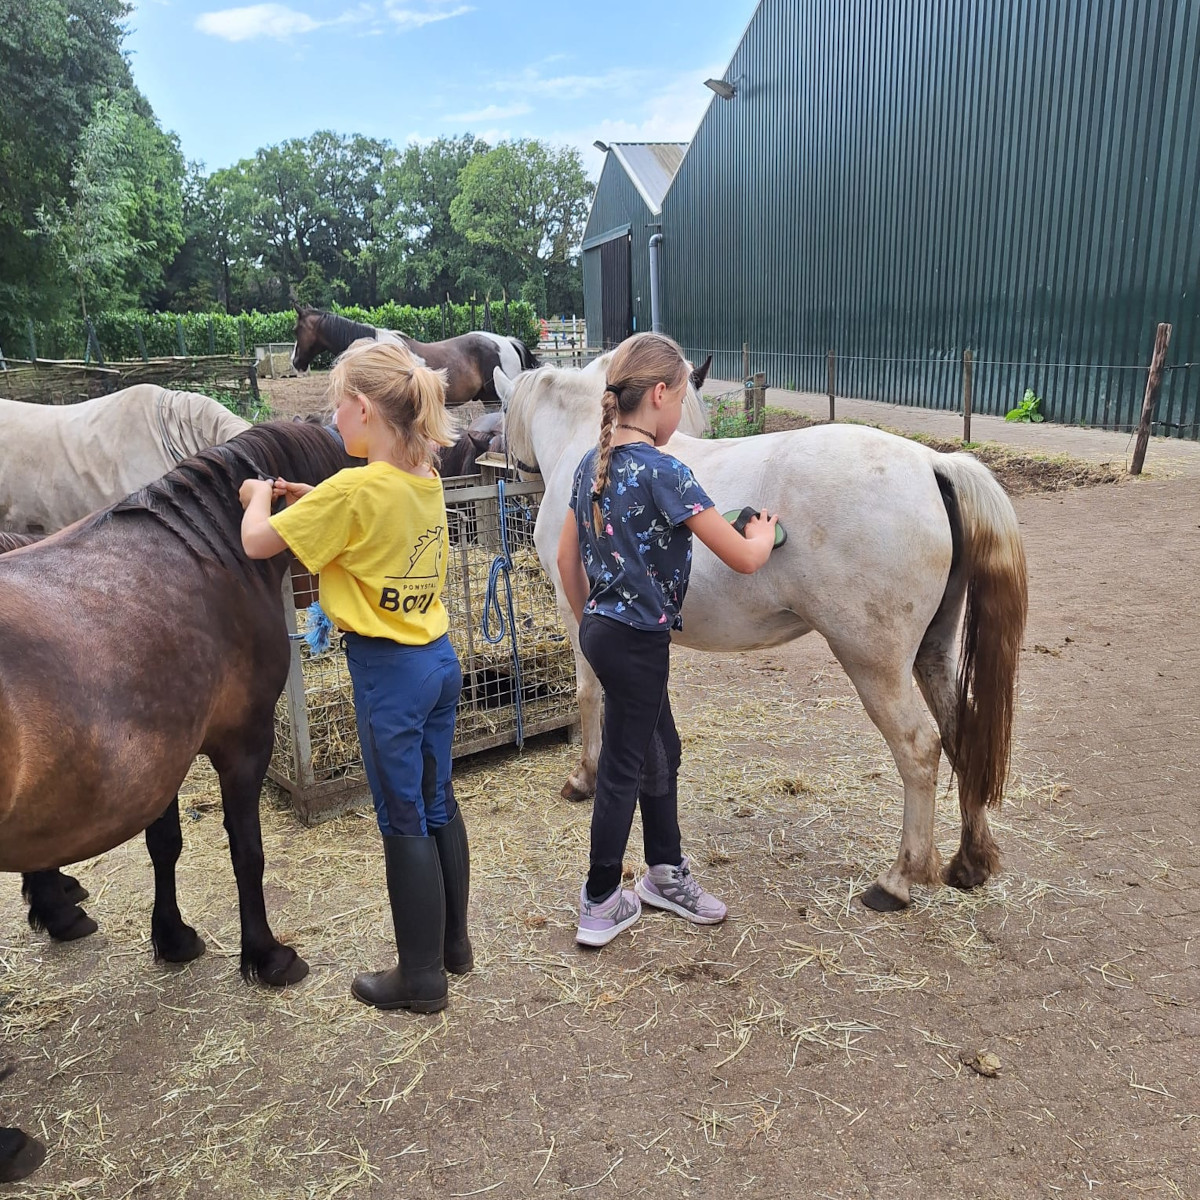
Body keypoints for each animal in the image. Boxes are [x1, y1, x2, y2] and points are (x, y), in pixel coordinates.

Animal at [0, 421, 352, 983]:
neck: (208, 555)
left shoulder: (160, 757)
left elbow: (164, 843)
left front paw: (173, 937)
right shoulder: (242, 745)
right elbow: (246, 851)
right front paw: (266, 954)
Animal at [493, 364, 1028, 912]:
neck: (590, 441)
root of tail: (931, 463)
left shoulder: (578, 613)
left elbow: (589, 695)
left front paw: (583, 777)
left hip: (875, 664)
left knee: (919, 749)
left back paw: (898, 879)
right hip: (931, 653)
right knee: (961, 736)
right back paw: (970, 862)